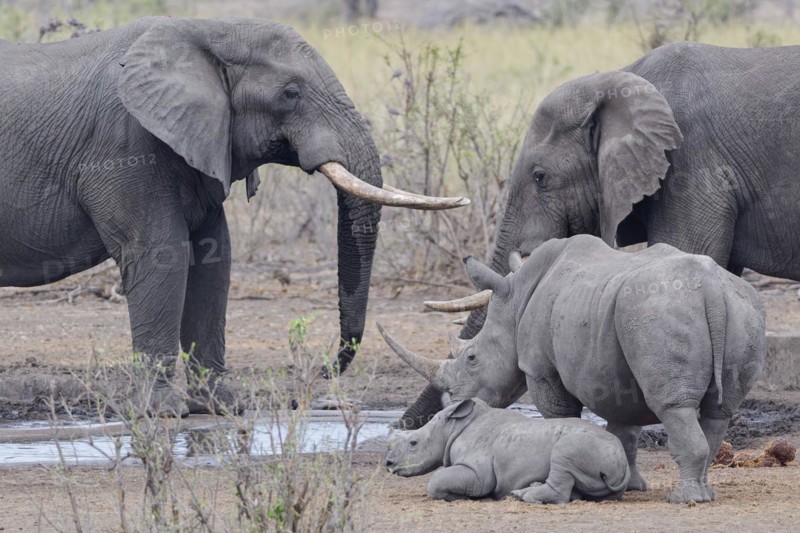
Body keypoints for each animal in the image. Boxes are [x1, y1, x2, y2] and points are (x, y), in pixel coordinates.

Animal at [0, 17, 468, 417]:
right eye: (290, 94)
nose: (323, 372)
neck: (206, 30)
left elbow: (212, 259)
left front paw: (221, 407)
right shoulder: (124, 146)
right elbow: (160, 254)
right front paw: (162, 412)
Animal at [385, 397, 630, 504]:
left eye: (413, 443)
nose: (388, 464)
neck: (452, 427)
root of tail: (624, 463)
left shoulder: (478, 473)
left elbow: (437, 481)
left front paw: (459, 496)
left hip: (585, 444)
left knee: (564, 453)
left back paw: (522, 496)